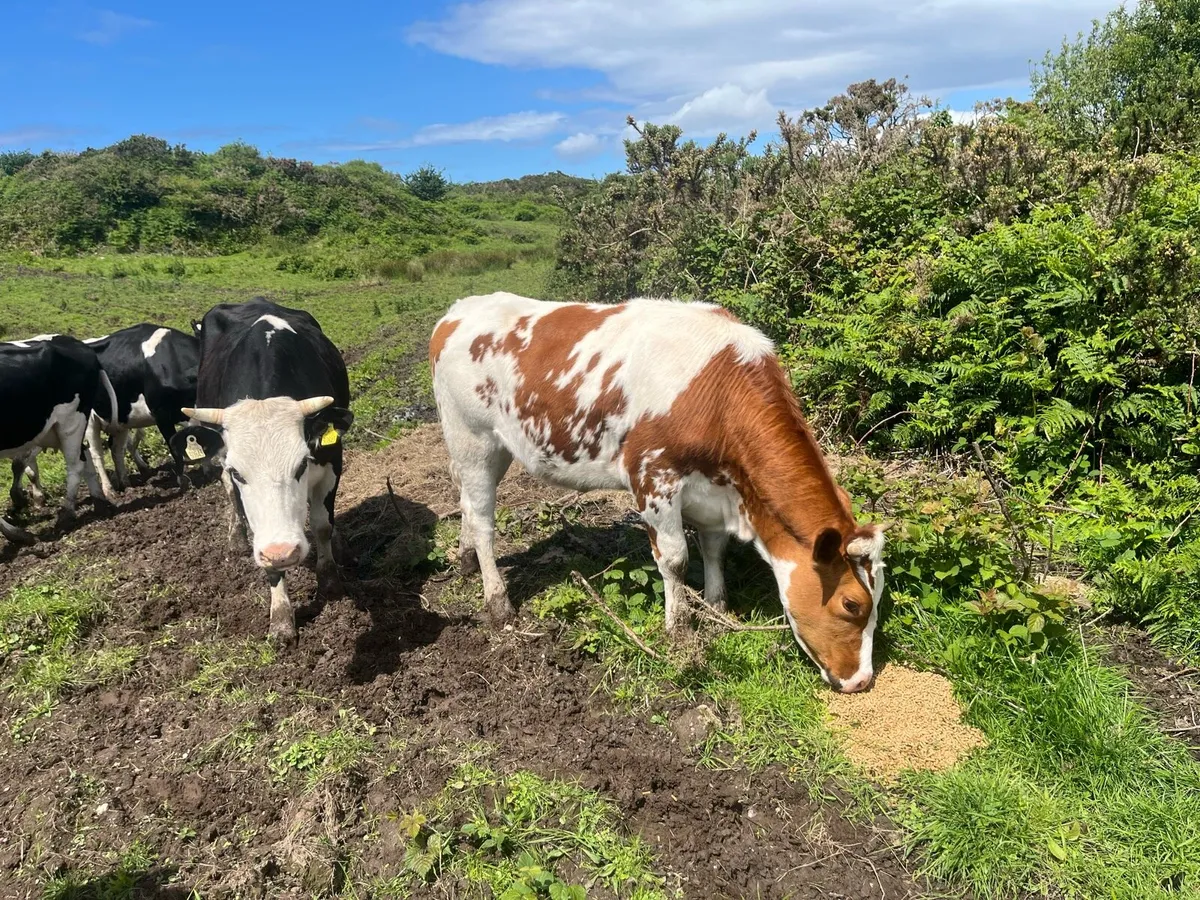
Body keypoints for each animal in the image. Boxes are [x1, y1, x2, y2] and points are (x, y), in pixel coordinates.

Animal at [1, 335, 115, 544]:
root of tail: (73, 341)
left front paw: (18, 534)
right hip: (54, 430)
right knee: (84, 454)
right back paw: (99, 502)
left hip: (70, 422)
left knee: (76, 465)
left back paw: (66, 515)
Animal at [168, 299, 354, 643]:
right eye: (240, 472)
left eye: (301, 464)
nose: (283, 552)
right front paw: (280, 618)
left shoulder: (332, 460)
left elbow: (322, 525)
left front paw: (330, 580)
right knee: (229, 495)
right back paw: (236, 537)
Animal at [430, 293, 887, 693]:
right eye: (851, 605)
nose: (862, 681)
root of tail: (458, 310)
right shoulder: (654, 476)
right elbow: (675, 559)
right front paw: (679, 630)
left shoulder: (712, 490)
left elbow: (714, 549)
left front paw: (717, 607)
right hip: (472, 438)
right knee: (483, 519)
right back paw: (496, 601)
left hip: (492, 447)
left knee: (465, 501)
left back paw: (465, 559)